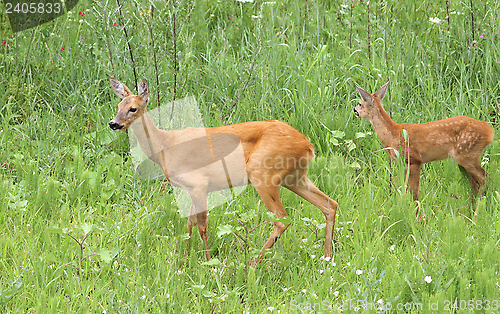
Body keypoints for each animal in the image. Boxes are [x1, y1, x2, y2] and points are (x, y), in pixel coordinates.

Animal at [107, 77, 338, 262]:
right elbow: (189, 223)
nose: (113, 123)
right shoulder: (191, 188)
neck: (165, 145)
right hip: (294, 177)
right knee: (329, 204)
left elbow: (202, 225)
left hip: (263, 174)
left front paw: (209, 263)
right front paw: (185, 258)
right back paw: (327, 257)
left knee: (282, 218)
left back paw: (253, 261)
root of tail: (307, 145)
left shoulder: (199, 183)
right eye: (118, 105)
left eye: (133, 108)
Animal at [356, 81, 492, 218]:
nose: (354, 110)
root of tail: (489, 131)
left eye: (360, 103)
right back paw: (469, 212)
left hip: (467, 153)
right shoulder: (405, 163)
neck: (392, 134)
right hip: (464, 158)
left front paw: (417, 217)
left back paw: (475, 215)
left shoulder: (414, 159)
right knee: (474, 183)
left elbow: (414, 192)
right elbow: (406, 189)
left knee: (484, 178)